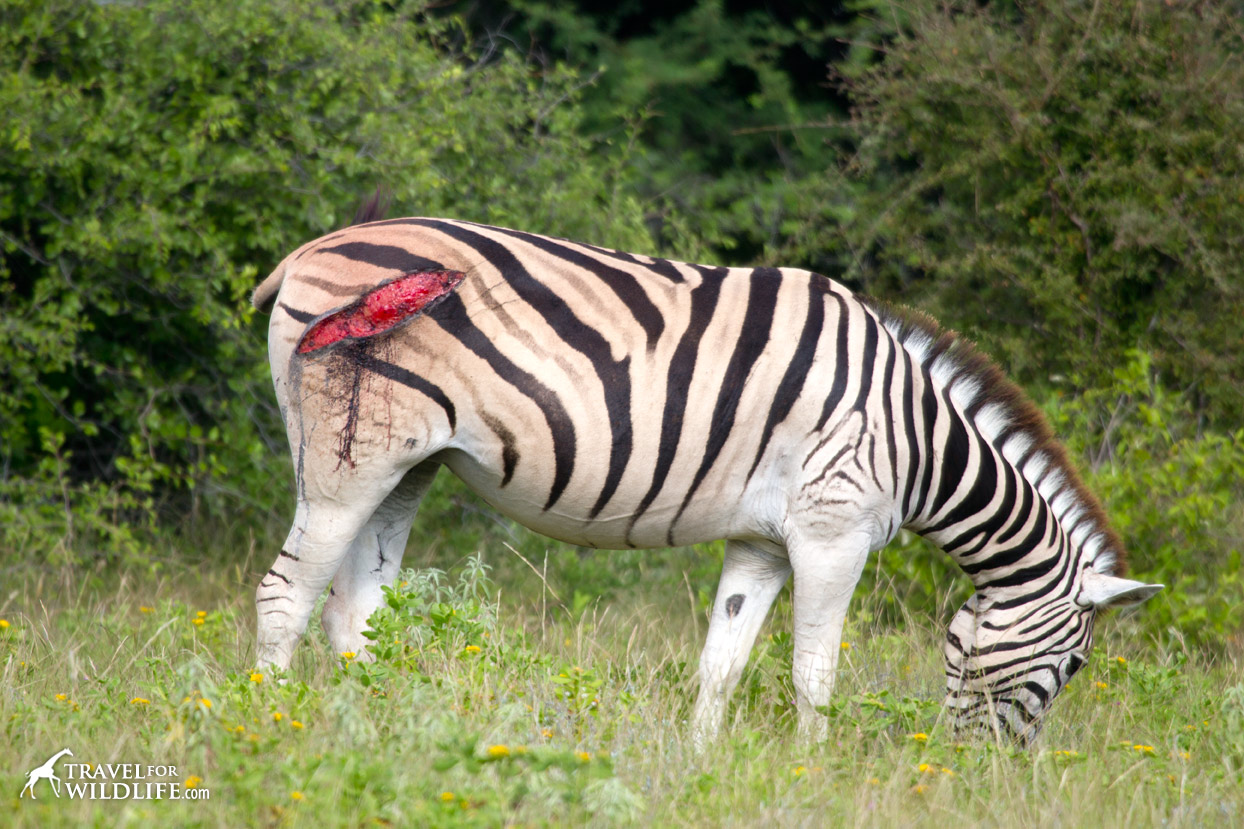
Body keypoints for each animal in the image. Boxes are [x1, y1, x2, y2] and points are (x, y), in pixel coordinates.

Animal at [247, 212, 1159, 741]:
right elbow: (814, 673)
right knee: (285, 594)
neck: (915, 439)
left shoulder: (763, 542)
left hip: (408, 465)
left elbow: (723, 661)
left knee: (355, 610)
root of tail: (306, 250)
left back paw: (385, 728)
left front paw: (705, 766)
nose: (984, 771)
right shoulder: (833, 532)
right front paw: (814, 775)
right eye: (1074, 667)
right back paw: (273, 725)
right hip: (349, 456)